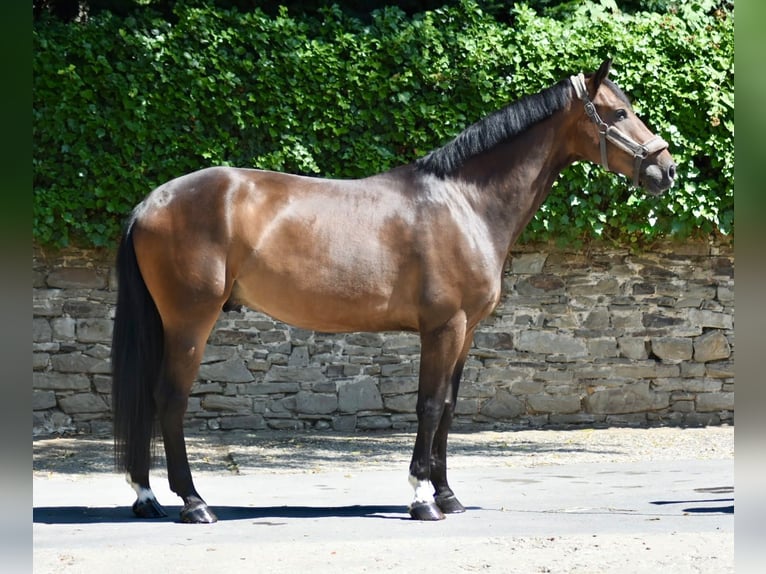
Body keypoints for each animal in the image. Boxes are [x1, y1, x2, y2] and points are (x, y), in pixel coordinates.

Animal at [111, 59, 676, 523]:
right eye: (619, 112)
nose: (665, 169)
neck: (464, 202)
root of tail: (150, 203)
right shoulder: (443, 327)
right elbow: (427, 405)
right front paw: (422, 498)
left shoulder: (466, 332)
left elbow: (448, 406)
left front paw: (448, 495)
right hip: (190, 322)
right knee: (170, 399)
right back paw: (193, 502)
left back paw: (146, 497)